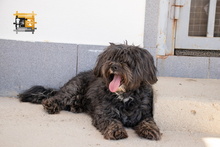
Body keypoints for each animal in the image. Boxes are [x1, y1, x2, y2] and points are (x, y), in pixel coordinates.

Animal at [18, 43, 161, 140]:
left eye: (127, 61)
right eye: (111, 58)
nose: (113, 66)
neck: (124, 96)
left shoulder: (144, 113)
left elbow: (148, 121)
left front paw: (151, 130)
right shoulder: (104, 113)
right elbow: (111, 121)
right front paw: (116, 131)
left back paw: (76, 107)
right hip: (73, 89)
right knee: (58, 97)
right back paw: (50, 104)